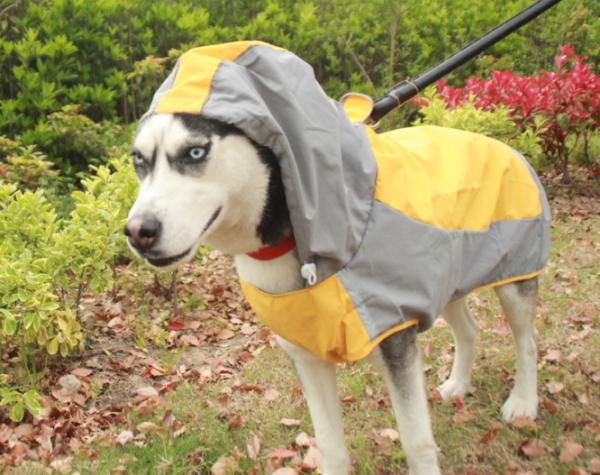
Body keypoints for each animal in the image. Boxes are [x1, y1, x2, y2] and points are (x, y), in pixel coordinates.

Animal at [124, 41, 552, 475]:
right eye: (138, 161)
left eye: (195, 151)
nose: (137, 231)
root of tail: (500, 143)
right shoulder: (306, 355)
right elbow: (330, 445)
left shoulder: (396, 344)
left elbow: (416, 442)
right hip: (444, 280)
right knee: (469, 330)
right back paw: (458, 385)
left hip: (514, 276)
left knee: (527, 339)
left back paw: (523, 402)